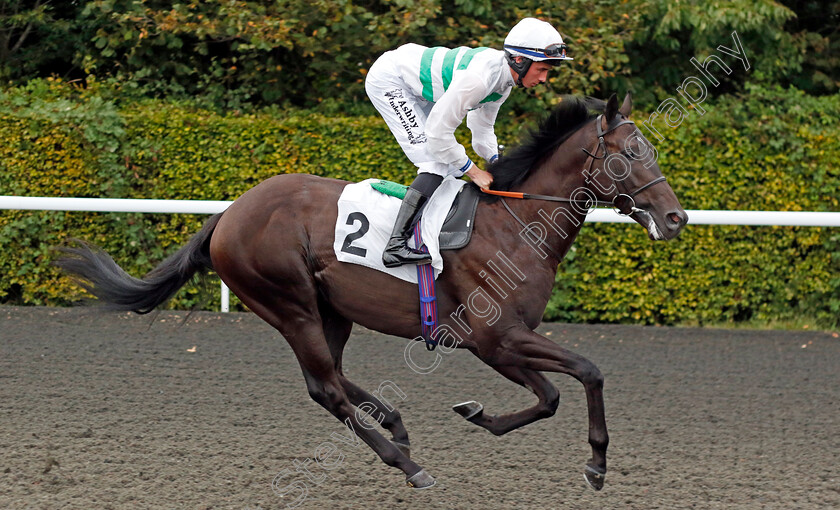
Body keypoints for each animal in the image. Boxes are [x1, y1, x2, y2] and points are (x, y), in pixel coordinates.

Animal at [59, 93, 688, 492]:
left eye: (653, 151)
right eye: (630, 154)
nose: (675, 218)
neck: (514, 225)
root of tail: (229, 214)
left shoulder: (505, 341)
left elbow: (554, 393)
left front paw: (478, 414)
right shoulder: (495, 338)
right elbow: (581, 375)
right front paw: (595, 464)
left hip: (329, 309)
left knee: (331, 380)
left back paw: (397, 427)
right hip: (290, 304)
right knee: (326, 388)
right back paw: (407, 465)